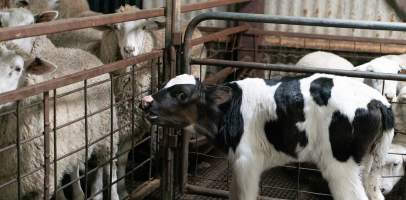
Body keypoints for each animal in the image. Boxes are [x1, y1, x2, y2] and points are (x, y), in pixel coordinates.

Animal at [141, 74, 394, 200]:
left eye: (181, 94)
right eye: (163, 85)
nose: (145, 102)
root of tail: (378, 101)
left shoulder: (247, 161)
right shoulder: (238, 162)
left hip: (340, 166)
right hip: (368, 165)